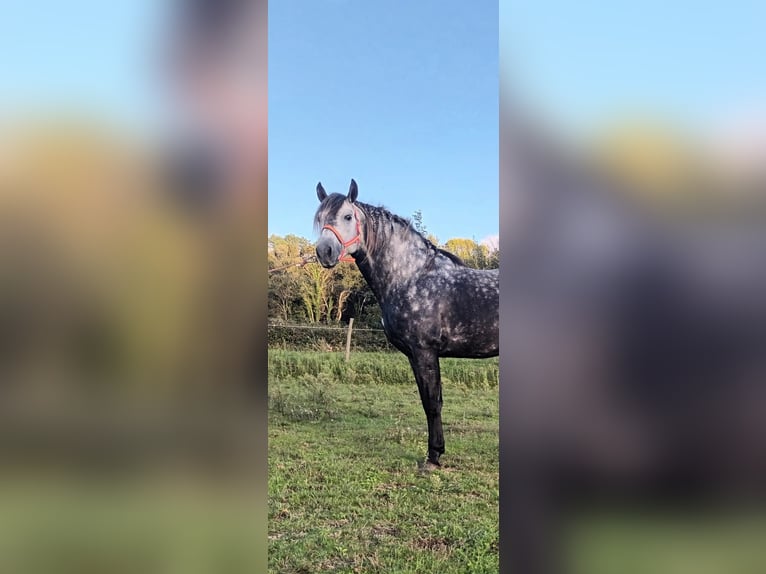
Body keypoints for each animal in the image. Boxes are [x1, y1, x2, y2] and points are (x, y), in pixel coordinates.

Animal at [316, 179, 500, 468]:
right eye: (320, 218)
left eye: (347, 216)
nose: (324, 252)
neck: (411, 276)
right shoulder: (414, 355)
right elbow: (427, 401)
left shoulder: (425, 351)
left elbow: (433, 403)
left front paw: (433, 457)